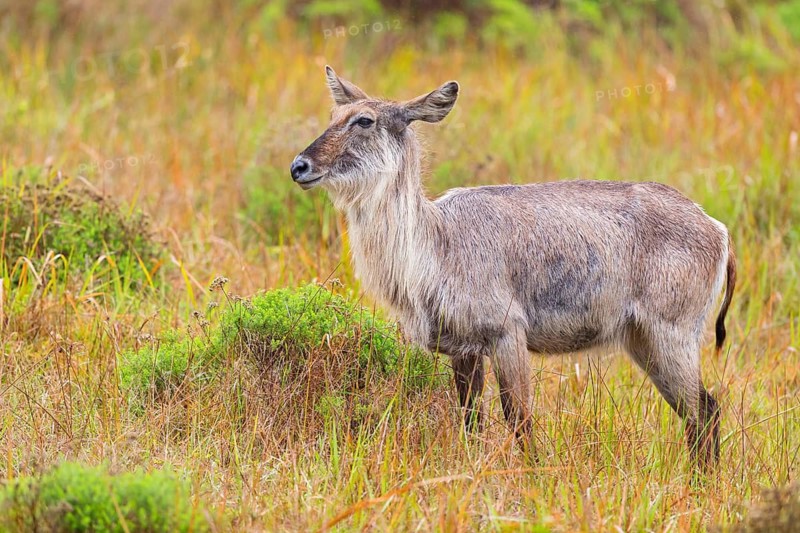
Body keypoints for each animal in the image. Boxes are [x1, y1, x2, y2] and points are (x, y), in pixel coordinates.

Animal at [290, 67, 736, 467]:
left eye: (364, 120)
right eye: (333, 116)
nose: (299, 167)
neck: (434, 249)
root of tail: (718, 229)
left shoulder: (507, 332)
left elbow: (520, 419)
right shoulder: (463, 347)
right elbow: (471, 421)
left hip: (671, 334)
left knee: (705, 412)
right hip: (642, 340)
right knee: (699, 414)